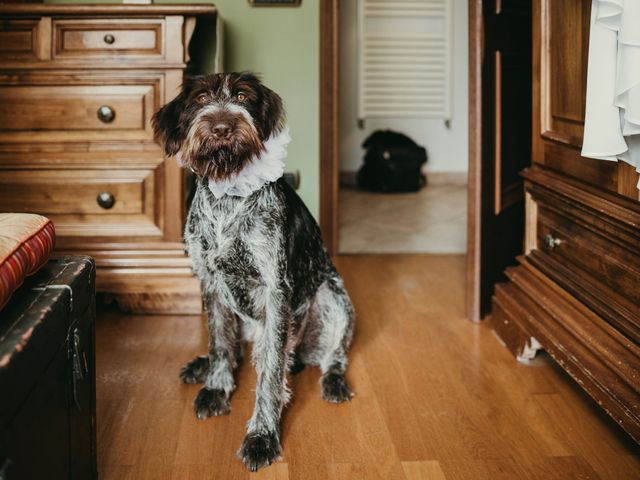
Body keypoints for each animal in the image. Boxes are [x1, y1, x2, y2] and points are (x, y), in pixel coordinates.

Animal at [153, 73, 358, 470]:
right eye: (201, 99)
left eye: (244, 97)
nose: (222, 127)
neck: (227, 197)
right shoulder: (211, 282)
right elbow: (219, 342)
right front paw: (216, 387)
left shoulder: (274, 289)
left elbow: (270, 375)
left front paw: (262, 435)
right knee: (236, 347)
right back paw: (203, 366)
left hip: (334, 297)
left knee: (330, 356)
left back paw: (333, 381)